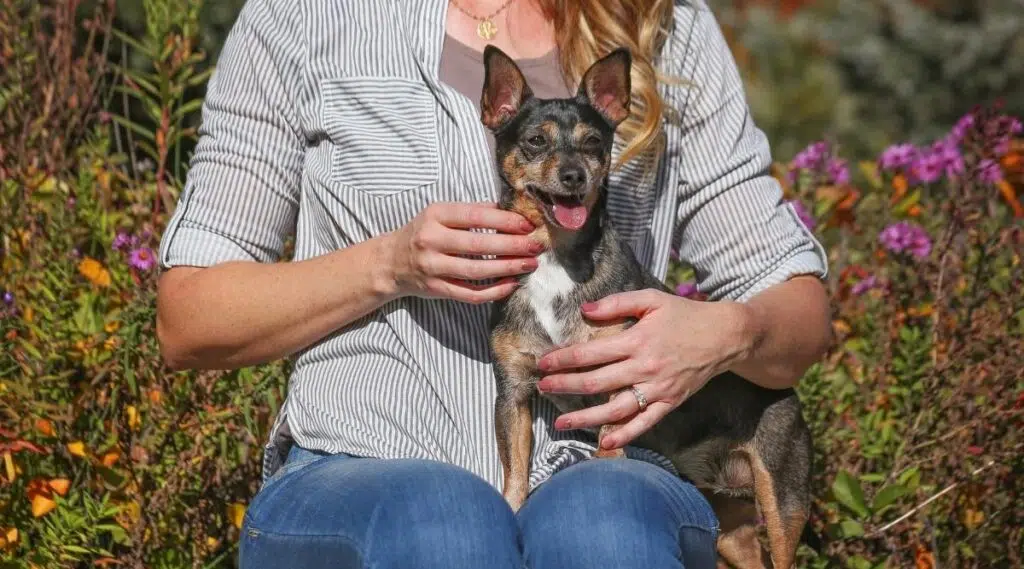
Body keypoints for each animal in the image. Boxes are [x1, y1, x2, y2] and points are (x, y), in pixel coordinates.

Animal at [483, 45, 811, 569]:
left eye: (594, 143)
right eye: (535, 141)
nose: (574, 175)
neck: (557, 256)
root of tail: (790, 393)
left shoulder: (617, 373)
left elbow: (610, 435)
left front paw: (607, 466)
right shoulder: (513, 394)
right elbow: (514, 470)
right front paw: (512, 508)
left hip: (782, 497)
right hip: (728, 528)